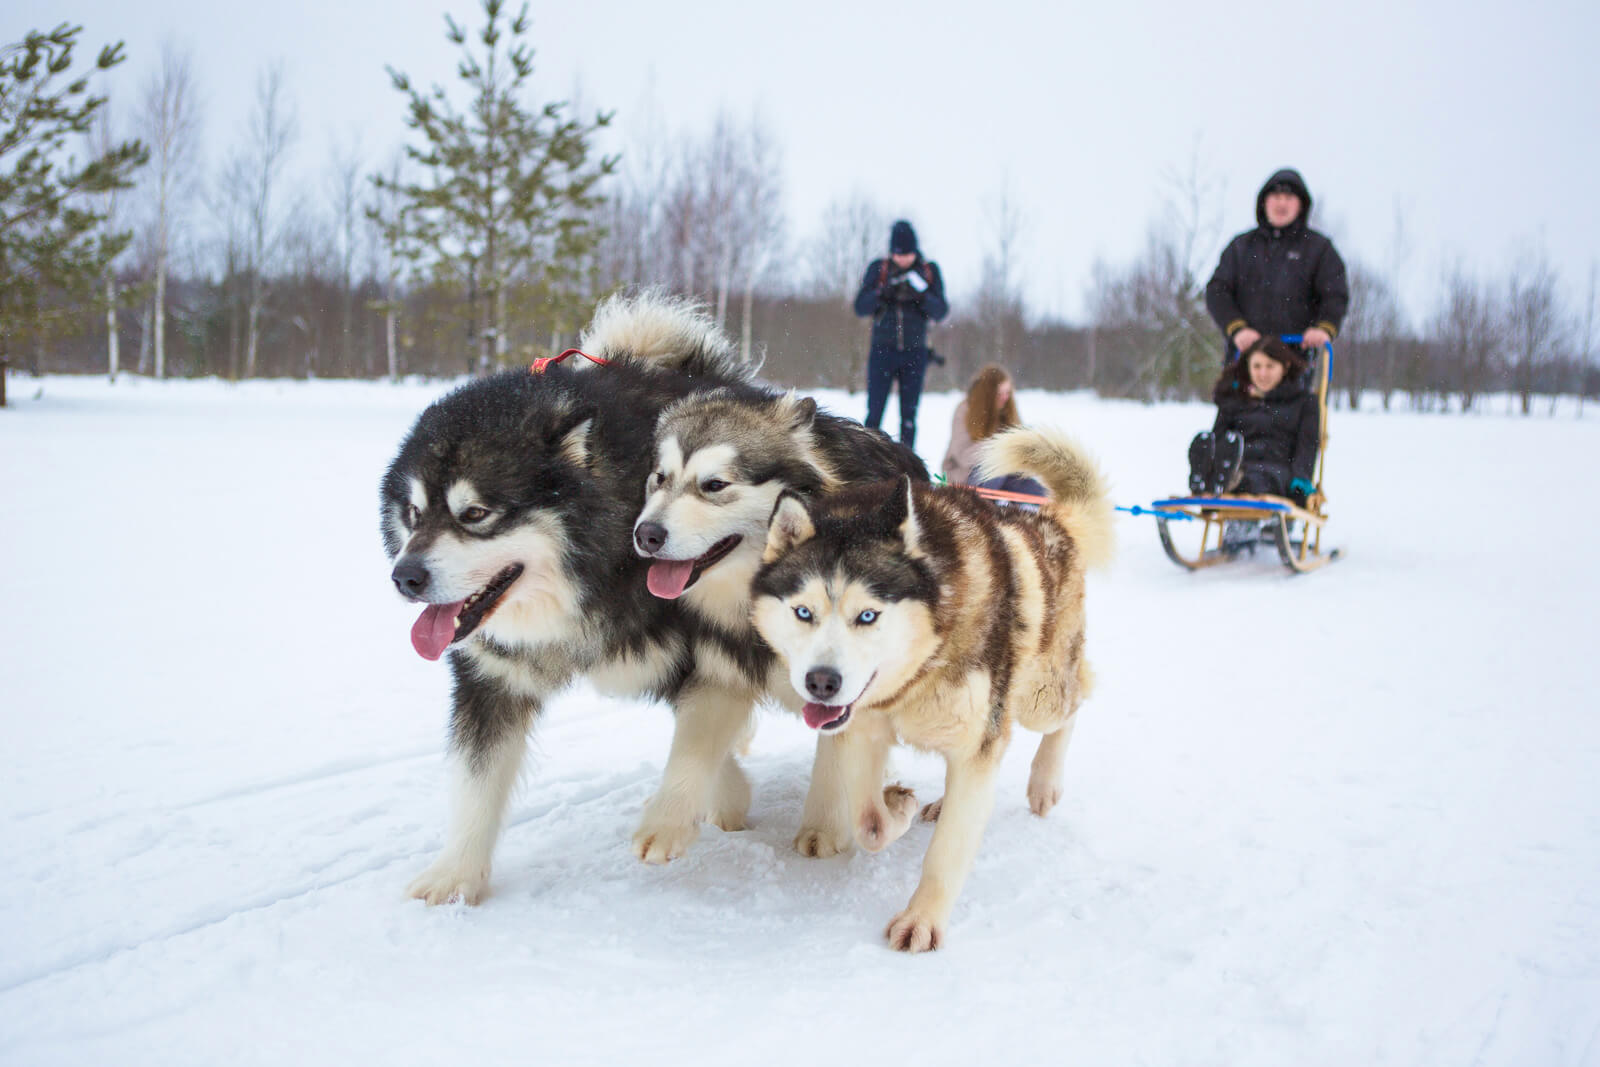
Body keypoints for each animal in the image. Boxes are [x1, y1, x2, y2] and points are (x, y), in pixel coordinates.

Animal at [748, 428, 1113, 953]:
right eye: (803, 612)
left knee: (1076, 698)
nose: (822, 681)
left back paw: (1044, 782)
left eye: (868, 615)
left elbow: (945, 855)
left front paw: (922, 920)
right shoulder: (862, 731)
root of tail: (1048, 520)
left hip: (1041, 697)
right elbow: (867, 822)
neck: (919, 671)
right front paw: (897, 804)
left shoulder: (978, 747)